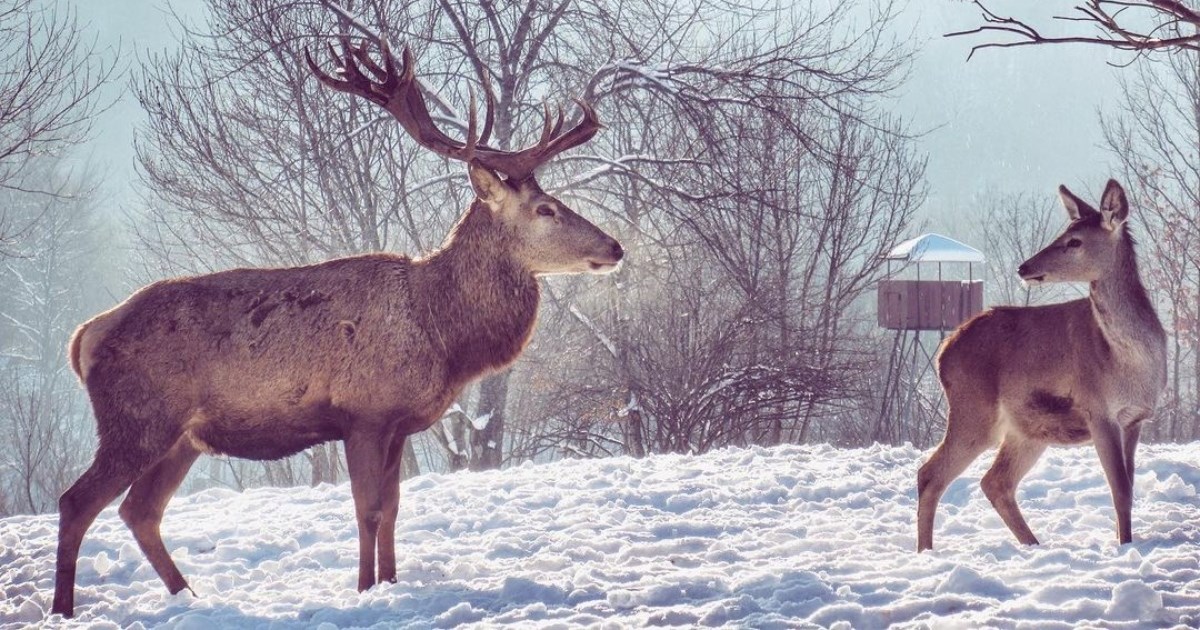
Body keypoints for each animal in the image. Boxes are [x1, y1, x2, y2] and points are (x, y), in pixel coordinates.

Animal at [51, 39, 624, 614]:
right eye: (545, 208)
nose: (616, 247)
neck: (440, 331)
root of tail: (82, 338)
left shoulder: (398, 424)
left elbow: (393, 507)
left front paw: (391, 583)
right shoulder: (363, 414)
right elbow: (368, 509)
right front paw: (366, 588)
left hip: (181, 438)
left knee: (139, 511)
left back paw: (190, 595)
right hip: (136, 418)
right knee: (77, 501)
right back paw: (65, 608)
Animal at [916, 177, 1161, 549]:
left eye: (1074, 240)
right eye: (1064, 233)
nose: (1024, 267)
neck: (1129, 359)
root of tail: (945, 348)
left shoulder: (1135, 419)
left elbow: (1129, 489)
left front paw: (1126, 541)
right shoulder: (1098, 409)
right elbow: (1118, 489)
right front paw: (1124, 547)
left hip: (1028, 428)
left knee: (995, 481)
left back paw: (1032, 544)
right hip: (974, 411)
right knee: (931, 474)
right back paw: (927, 553)